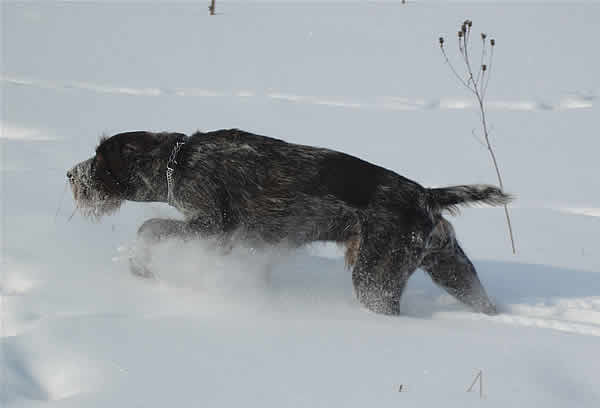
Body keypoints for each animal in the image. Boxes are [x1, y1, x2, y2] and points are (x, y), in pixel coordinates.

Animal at [69, 129, 510, 314]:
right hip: (452, 269)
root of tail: (426, 194)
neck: (179, 161)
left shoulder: (213, 225)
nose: (71, 175)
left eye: (100, 159)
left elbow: (150, 229)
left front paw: (140, 266)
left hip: (374, 280)